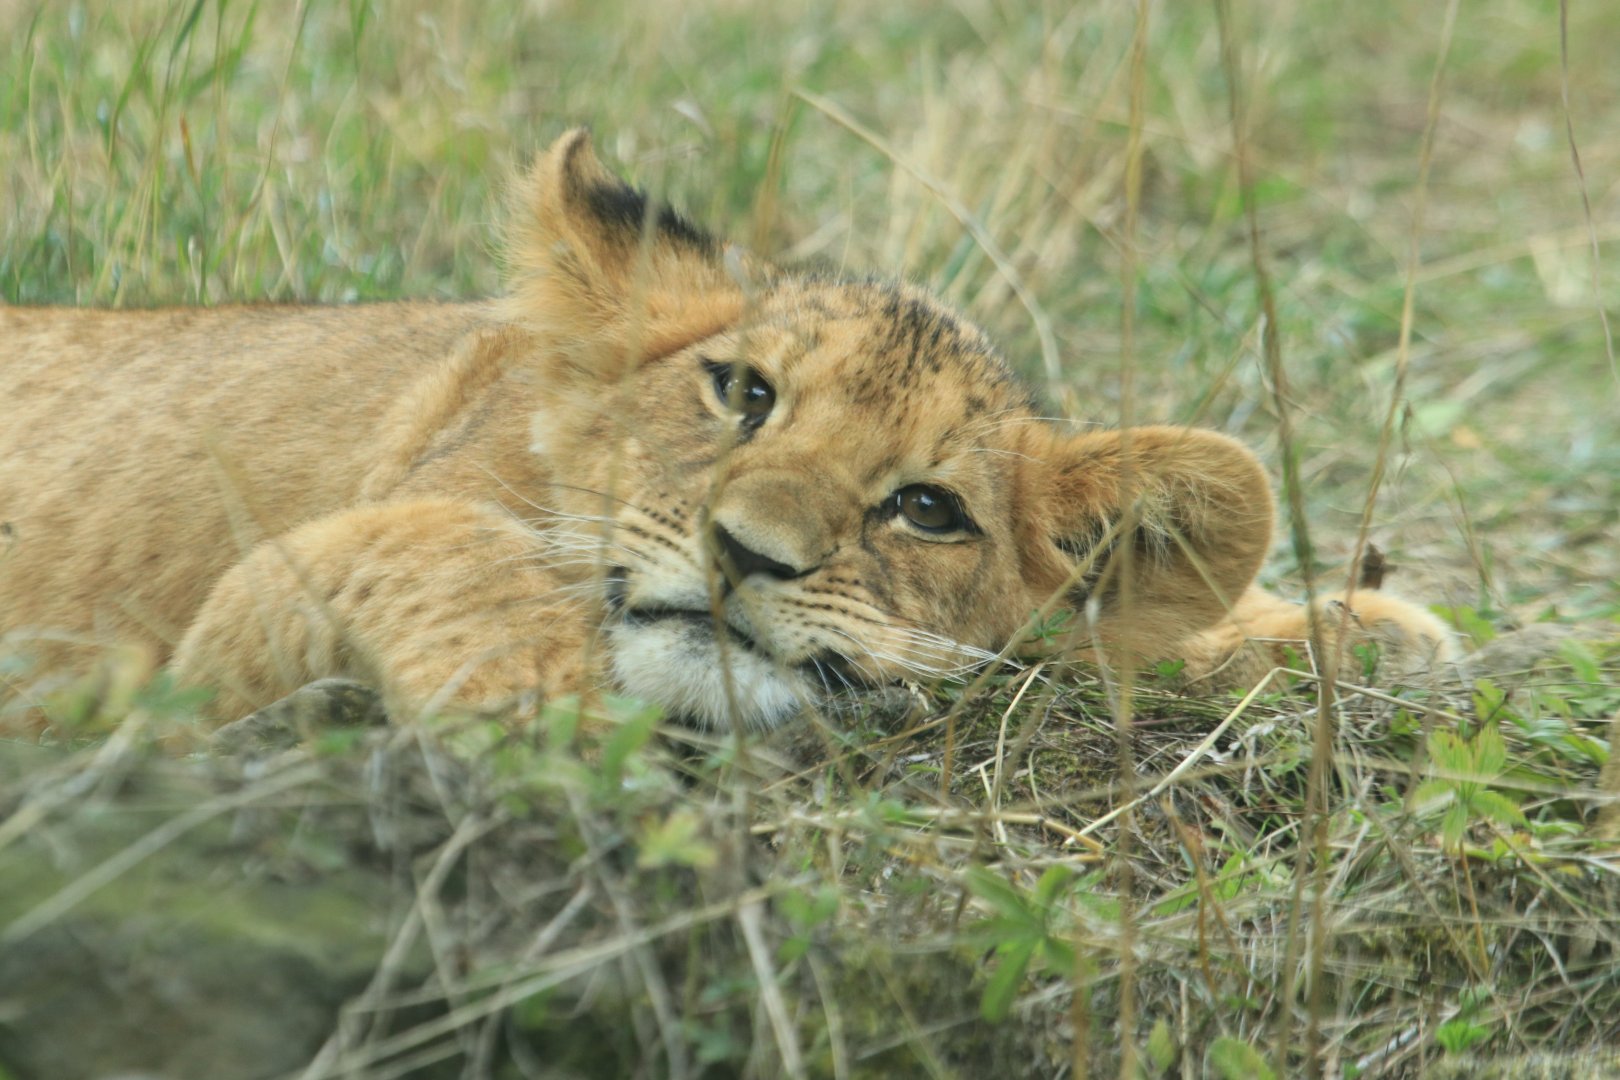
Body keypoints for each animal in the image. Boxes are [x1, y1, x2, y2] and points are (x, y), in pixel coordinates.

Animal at [0, 129, 1455, 734]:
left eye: (927, 509)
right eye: (745, 394)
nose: (747, 555)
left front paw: (1364, 634)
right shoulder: (201, 656)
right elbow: (442, 538)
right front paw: (537, 698)